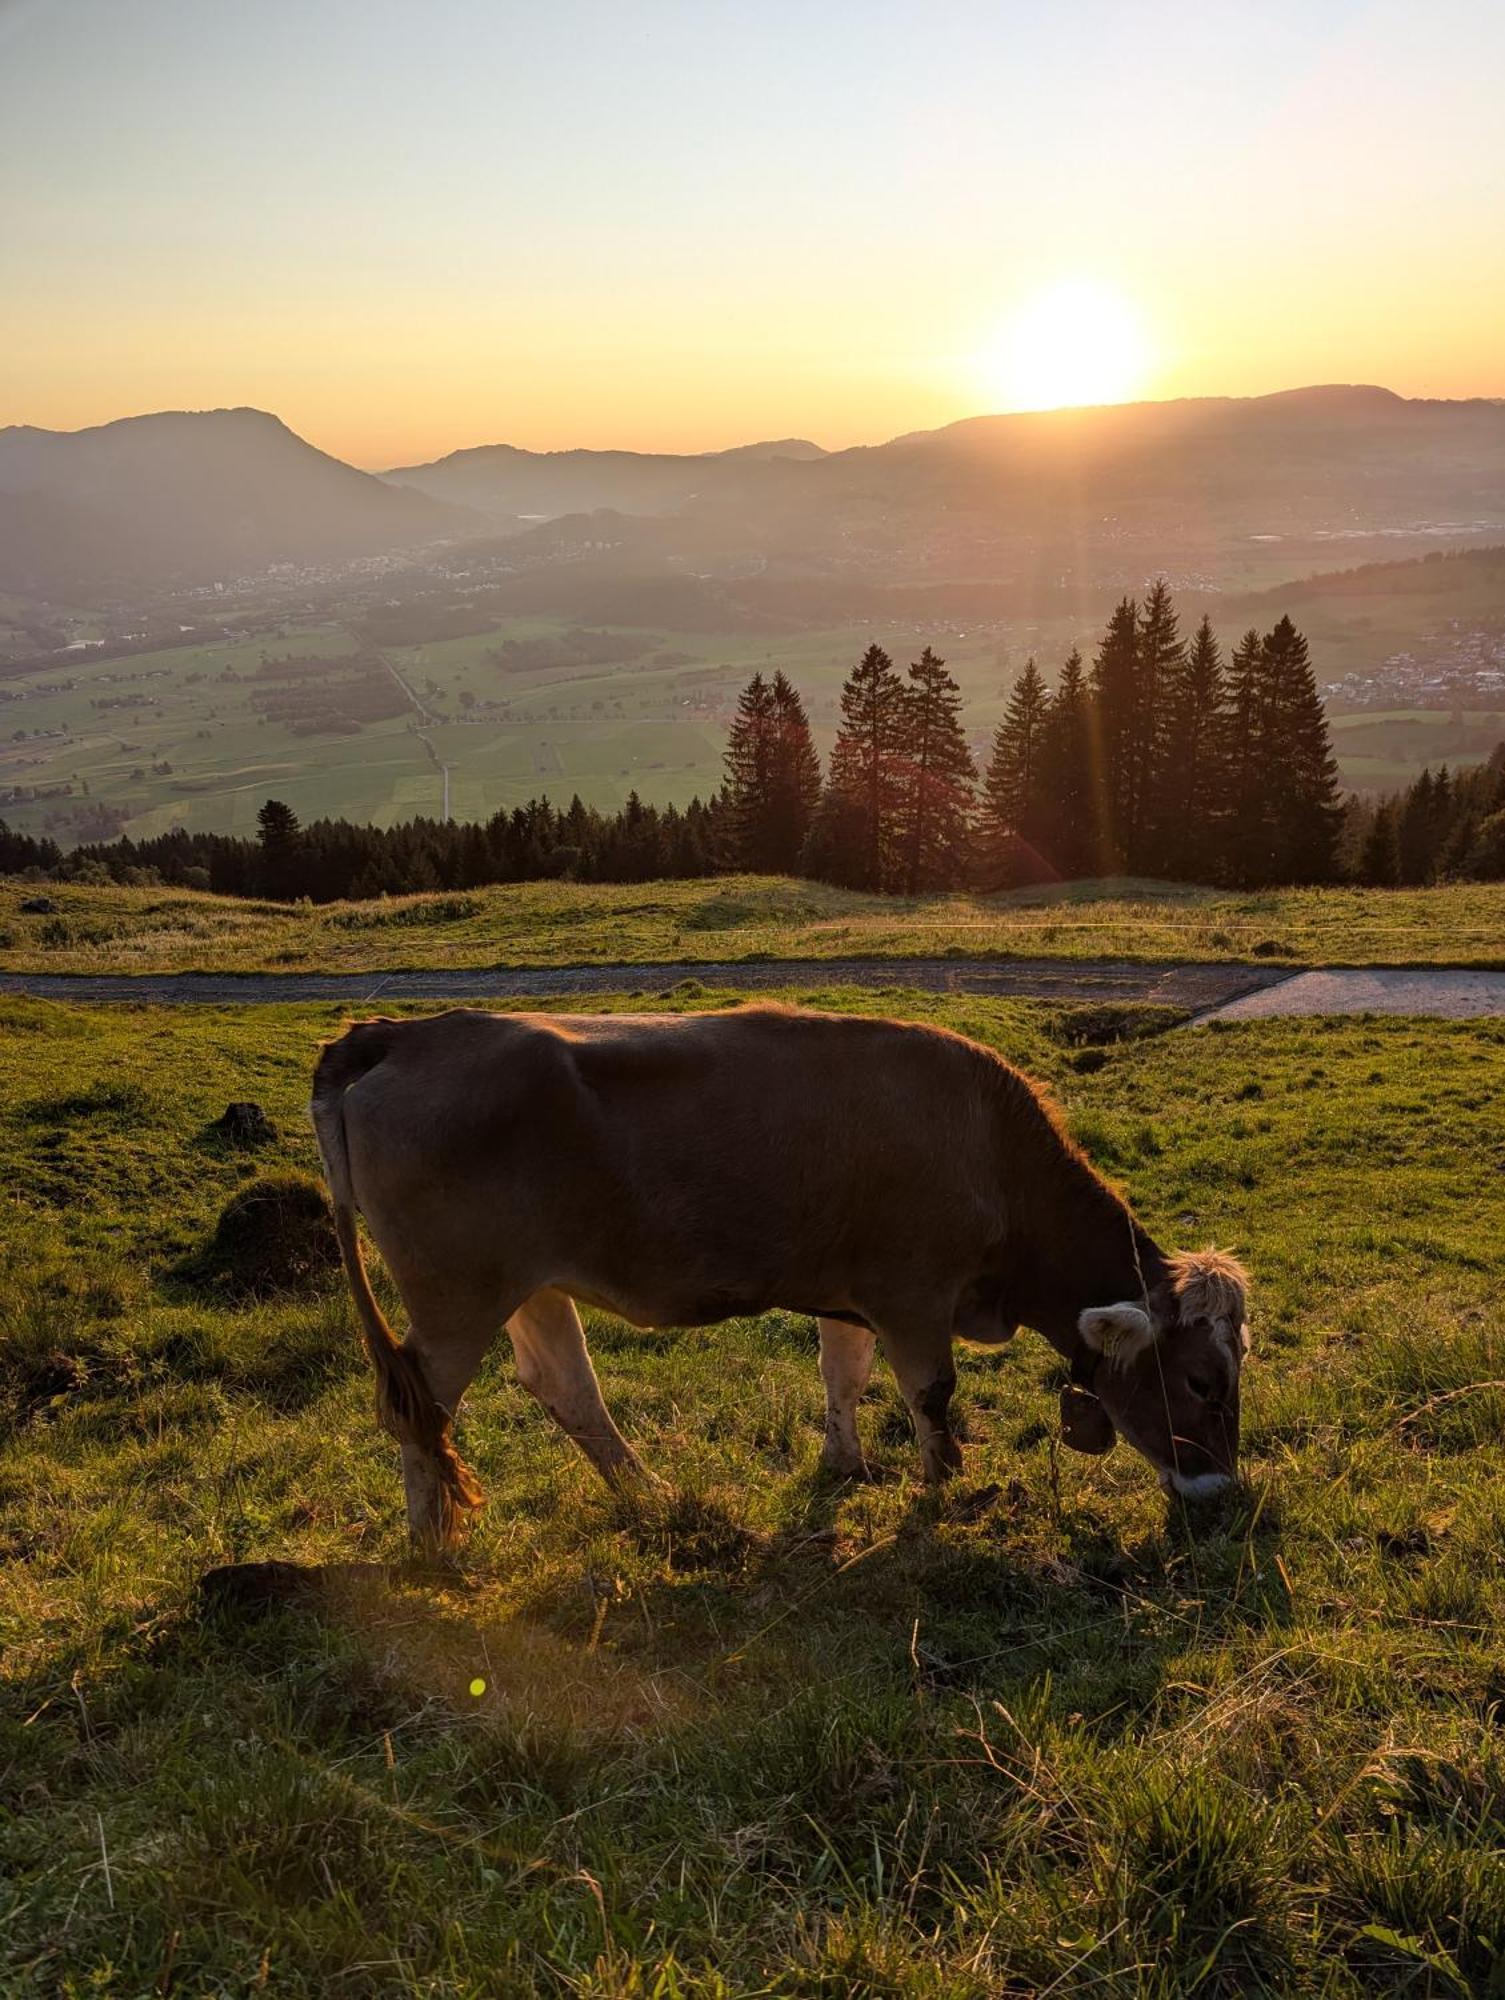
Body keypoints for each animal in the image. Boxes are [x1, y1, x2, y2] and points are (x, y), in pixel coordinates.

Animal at [312, 1008, 1248, 1552]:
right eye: (1203, 1380)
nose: (1221, 1491)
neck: (988, 1148)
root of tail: (406, 1030)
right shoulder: (913, 1294)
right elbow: (930, 1395)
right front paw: (945, 1487)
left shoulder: (855, 1292)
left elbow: (845, 1375)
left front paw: (845, 1463)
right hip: (454, 1297)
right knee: (420, 1406)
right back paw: (435, 1548)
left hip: (529, 1285)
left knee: (564, 1387)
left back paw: (653, 1497)